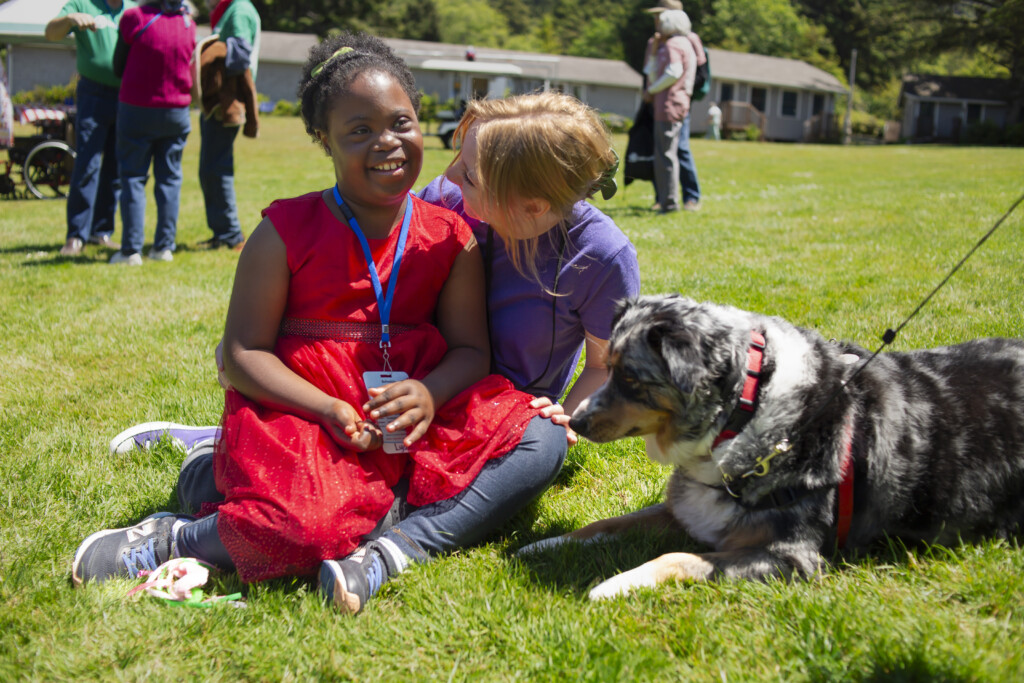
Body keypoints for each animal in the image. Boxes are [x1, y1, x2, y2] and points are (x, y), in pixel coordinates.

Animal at [520, 294, 1024, 598]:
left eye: (629, 377)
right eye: (607, 366)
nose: (575, 420)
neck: (743, 416)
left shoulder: (793, 556)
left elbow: (676, 556)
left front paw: (614, 585)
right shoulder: (687, 506)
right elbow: (608, 523)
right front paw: (542, 545)